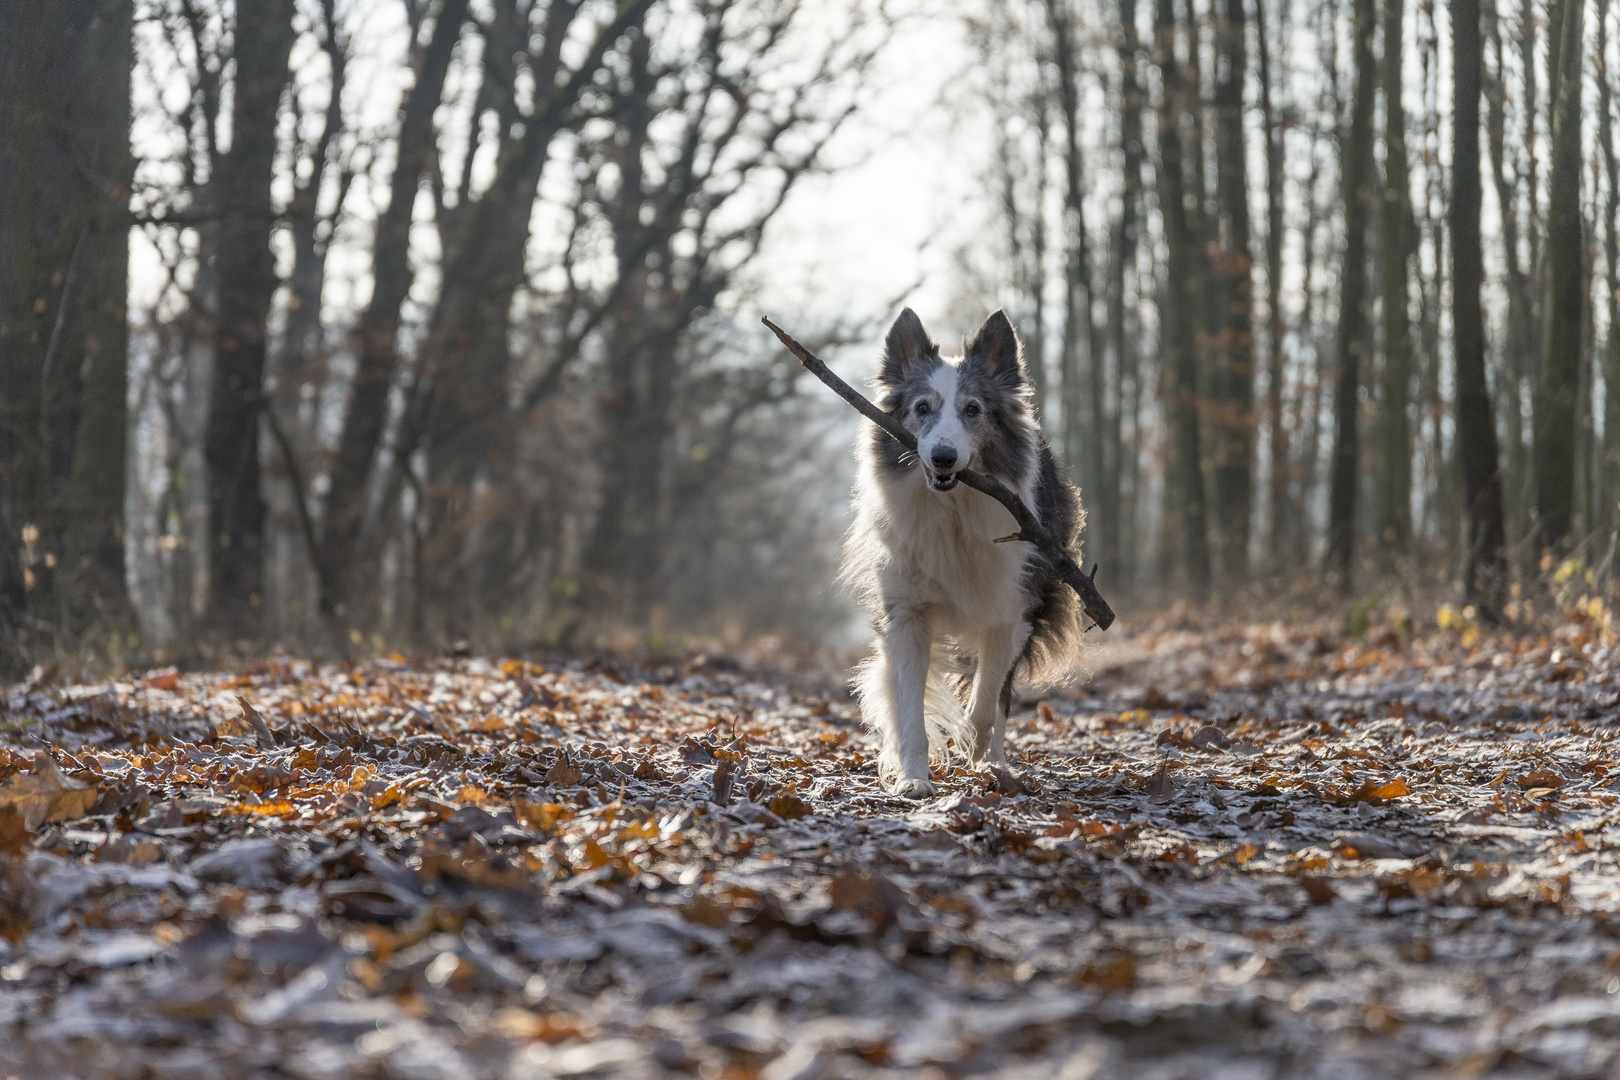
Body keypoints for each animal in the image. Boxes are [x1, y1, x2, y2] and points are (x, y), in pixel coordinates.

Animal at [842, 307, 1082, 799]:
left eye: (973, 409)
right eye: (922, 408)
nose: (944, 458)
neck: (951, 509)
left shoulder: (1011, 610)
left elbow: (986, 703)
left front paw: (976, 751)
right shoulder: (907, 612)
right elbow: (909, 707)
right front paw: (913, 777)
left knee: (1000, 698)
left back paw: (994, 763)